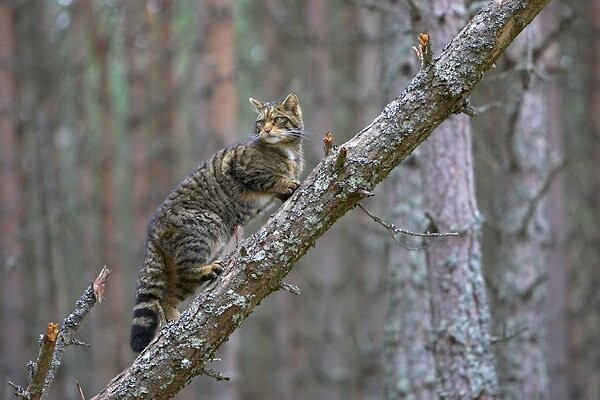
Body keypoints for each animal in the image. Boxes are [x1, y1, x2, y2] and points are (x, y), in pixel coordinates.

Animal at [128, 92, 302, 352]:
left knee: (168, 295)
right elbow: (271, 178)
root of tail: (152, 231)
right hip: (208, 227)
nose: (267, 130)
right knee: (184, 270)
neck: (285, 150)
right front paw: (286, 181)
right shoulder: (243, 168)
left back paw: (174, 320)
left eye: (278, 119)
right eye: (261, 122)